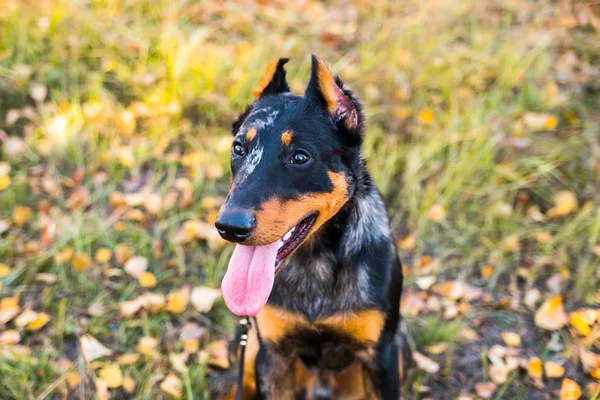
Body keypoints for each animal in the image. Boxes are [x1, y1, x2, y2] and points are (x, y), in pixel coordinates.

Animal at [214, 54, 404, 398]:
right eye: (238, 148)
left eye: (300, 157)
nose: (229, 227)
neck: (315, 262)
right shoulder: (272, 355)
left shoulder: (382, 355)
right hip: (250, 349)